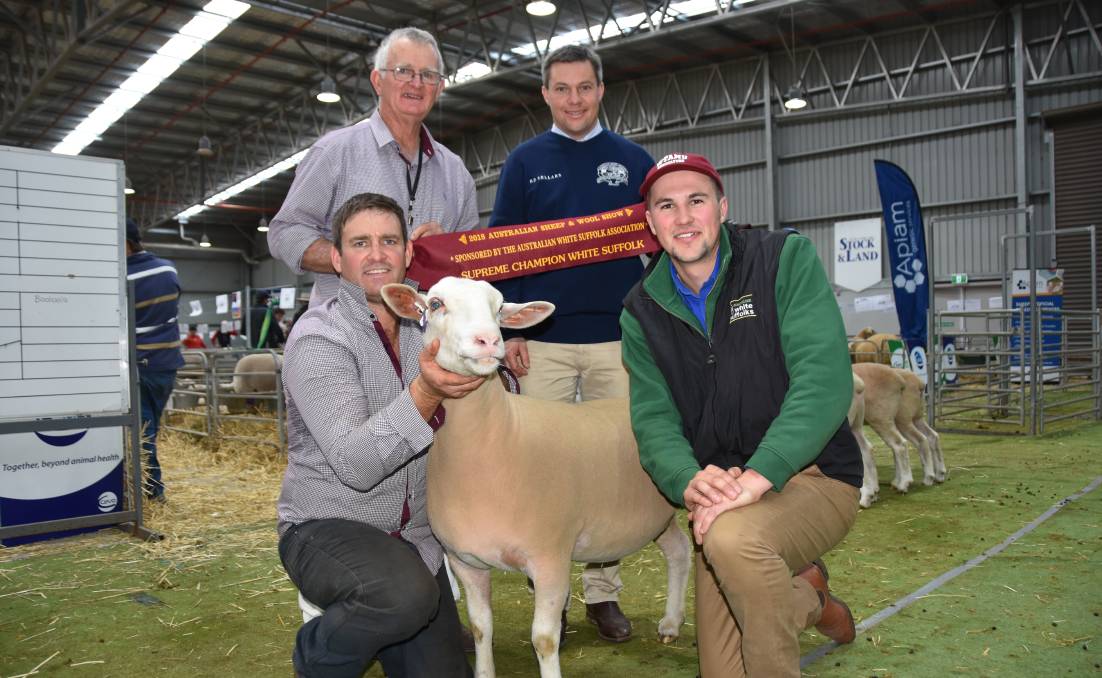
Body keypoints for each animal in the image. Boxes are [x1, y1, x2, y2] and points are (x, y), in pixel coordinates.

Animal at [379, 276, 687, 678]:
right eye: (434, 304)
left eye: (498, 309)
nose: (488, 341)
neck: (497, 440)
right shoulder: (465, 561)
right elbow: (481, 628)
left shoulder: (550, 559)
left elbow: (544, 639)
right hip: (657, 514)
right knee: (680, 549)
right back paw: (671, 624)